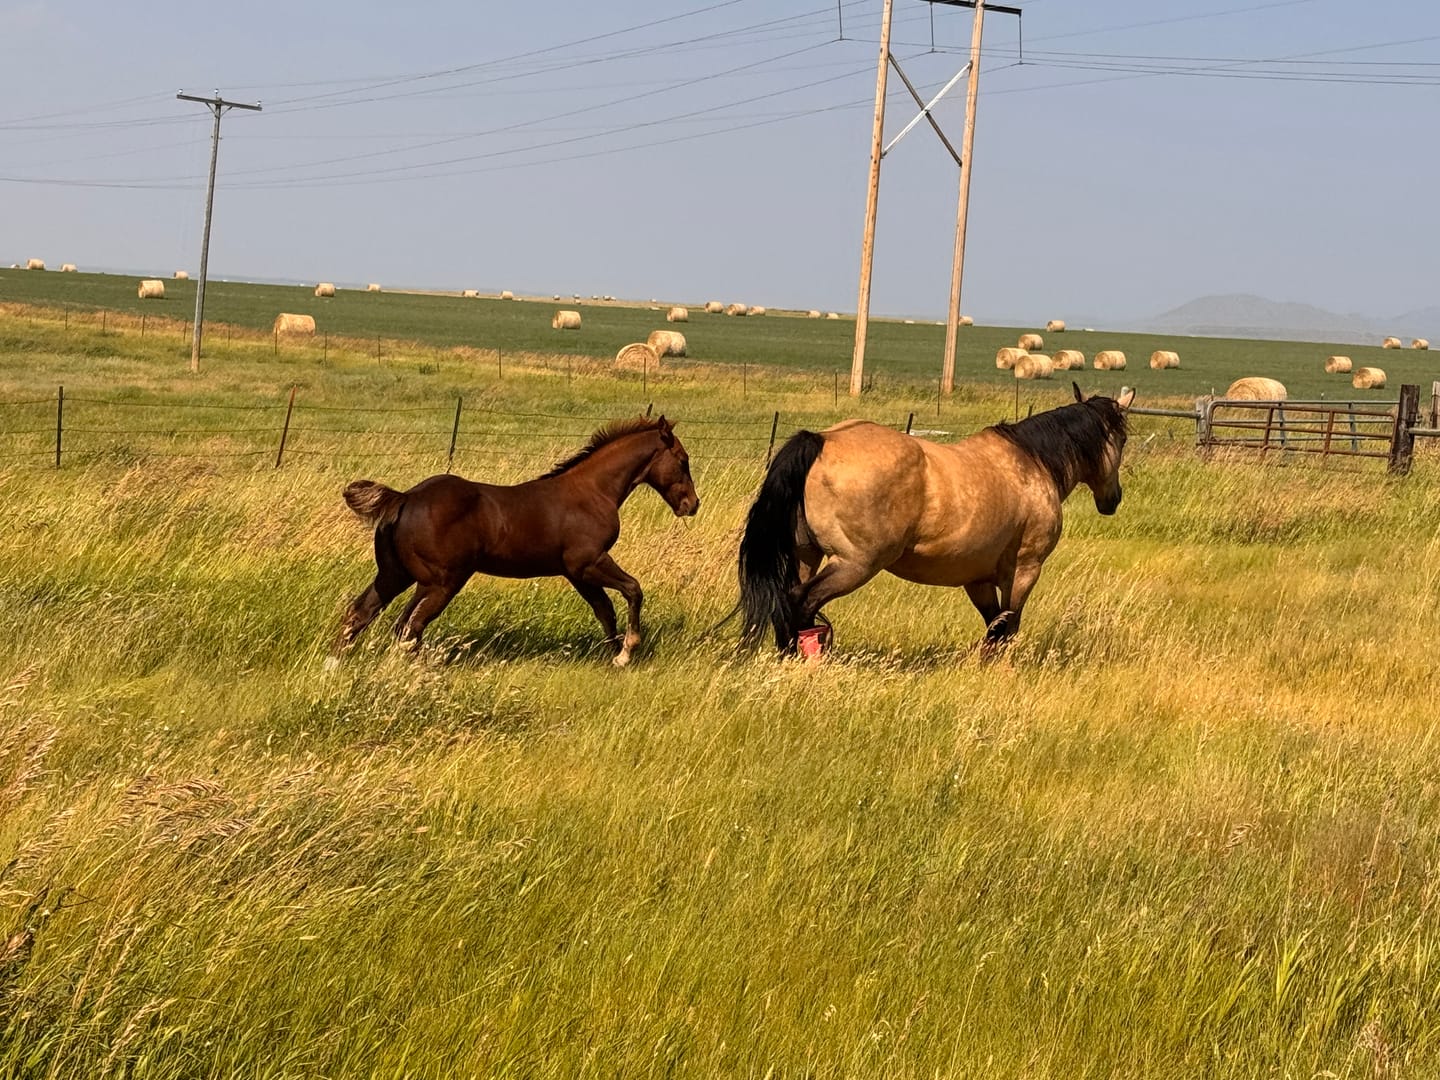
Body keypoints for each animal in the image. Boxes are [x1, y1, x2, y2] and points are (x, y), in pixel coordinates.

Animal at [332, 415, 699, 667]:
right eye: (683, 461)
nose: (692, 505)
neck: (593, 491)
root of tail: (405, 498)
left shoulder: (575, 573)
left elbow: (604, 610)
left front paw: (612, 656)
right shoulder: (590, 562)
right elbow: (632, 590)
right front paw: (627, 650)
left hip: (395, 575)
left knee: (362, 614)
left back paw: (334, 665)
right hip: (440, 582)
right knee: (408, 627)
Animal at [737, 383, 1134, 654]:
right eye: (1123, 440)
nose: (1113, 499)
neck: (1032, 463)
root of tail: (821, 440)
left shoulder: (977, 579)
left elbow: (993, 628)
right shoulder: (1024, 570)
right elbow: (1008, 628)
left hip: (807, 556)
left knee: (788, 604)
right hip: (854, 565)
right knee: (801, 603)